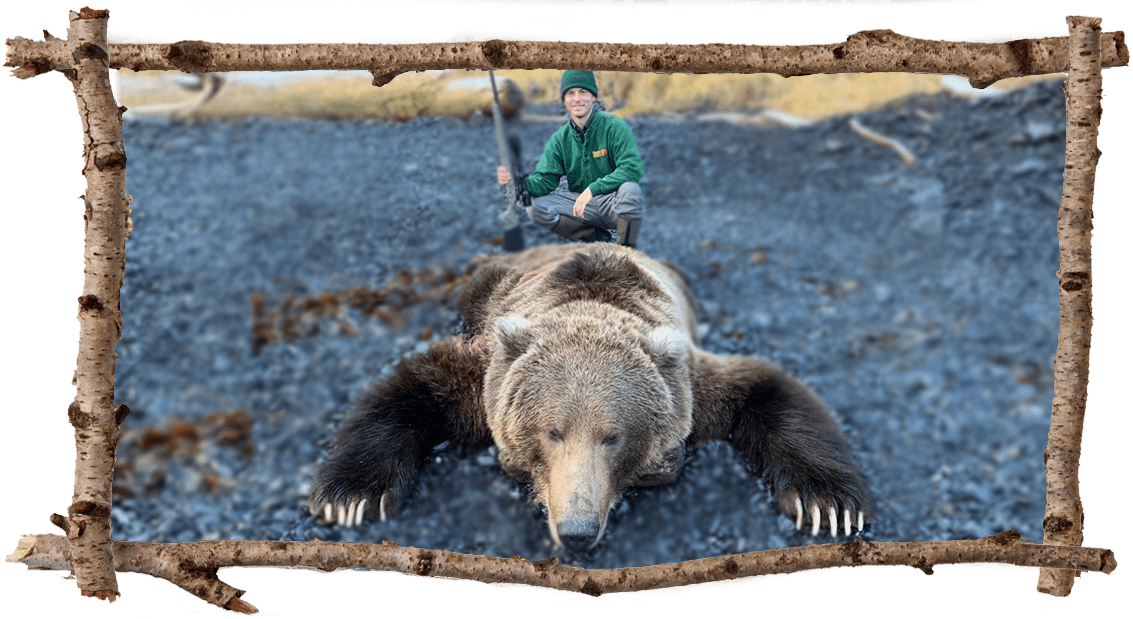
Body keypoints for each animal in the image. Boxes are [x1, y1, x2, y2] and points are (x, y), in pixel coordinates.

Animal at [309, 243, 874, 551]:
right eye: (550, 432)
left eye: (613, 437)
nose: (577, 530)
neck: (592, 304)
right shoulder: (487, 375)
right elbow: (414, 386)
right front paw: (352, 496)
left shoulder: (692, 385)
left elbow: (768, 389)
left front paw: (828, 504)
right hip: (492, 282)